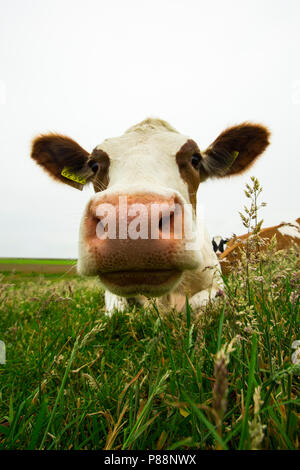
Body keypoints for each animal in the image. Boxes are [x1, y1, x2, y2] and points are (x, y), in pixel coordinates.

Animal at [30, 117, 270, 316]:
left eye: (195, 159)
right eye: (94, 165)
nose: (132, 221)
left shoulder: (218, 285)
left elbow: (203, 301)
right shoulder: (113, 296)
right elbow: (118, 310)